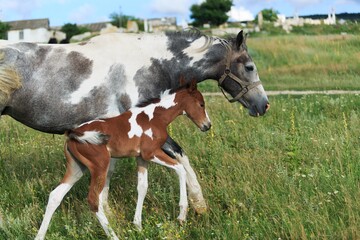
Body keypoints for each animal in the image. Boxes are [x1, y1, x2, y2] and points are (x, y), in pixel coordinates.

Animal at [35, 81, 211, 239]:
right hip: (100, 166)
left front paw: (138, 225)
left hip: (77, 168)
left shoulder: (141, 158)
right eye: (201, 104)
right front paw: (182, 215)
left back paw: (40, 235)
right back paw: (114, 236)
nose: (207, 125)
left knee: (55, 195)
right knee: (93, 200)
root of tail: (73, 133)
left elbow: (142, 187)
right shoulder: (151, 153)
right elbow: (180, 168)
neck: (155, 117)